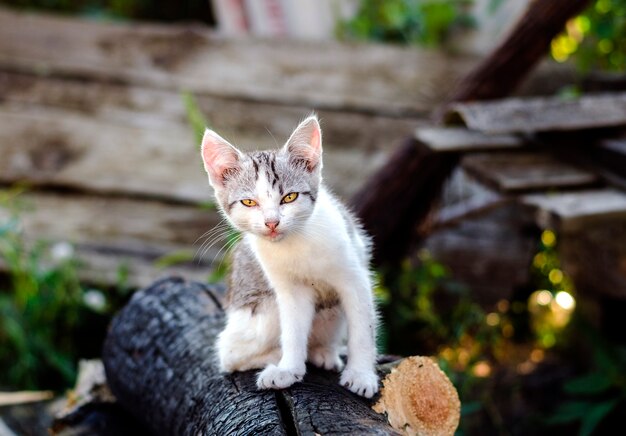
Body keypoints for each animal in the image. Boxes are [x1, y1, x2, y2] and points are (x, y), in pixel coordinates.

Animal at [200, 115, 376, 398]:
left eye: (289, 197)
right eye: (249, 202)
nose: (272, 223)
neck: (295, 243)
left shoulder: (355, 278)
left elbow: (363, 329)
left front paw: (361, 375)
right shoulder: (290, 290)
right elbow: (293, 329)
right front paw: (288, 369)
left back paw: (324, 352)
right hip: (259, 311)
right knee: (229, 356)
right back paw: (276, 356)